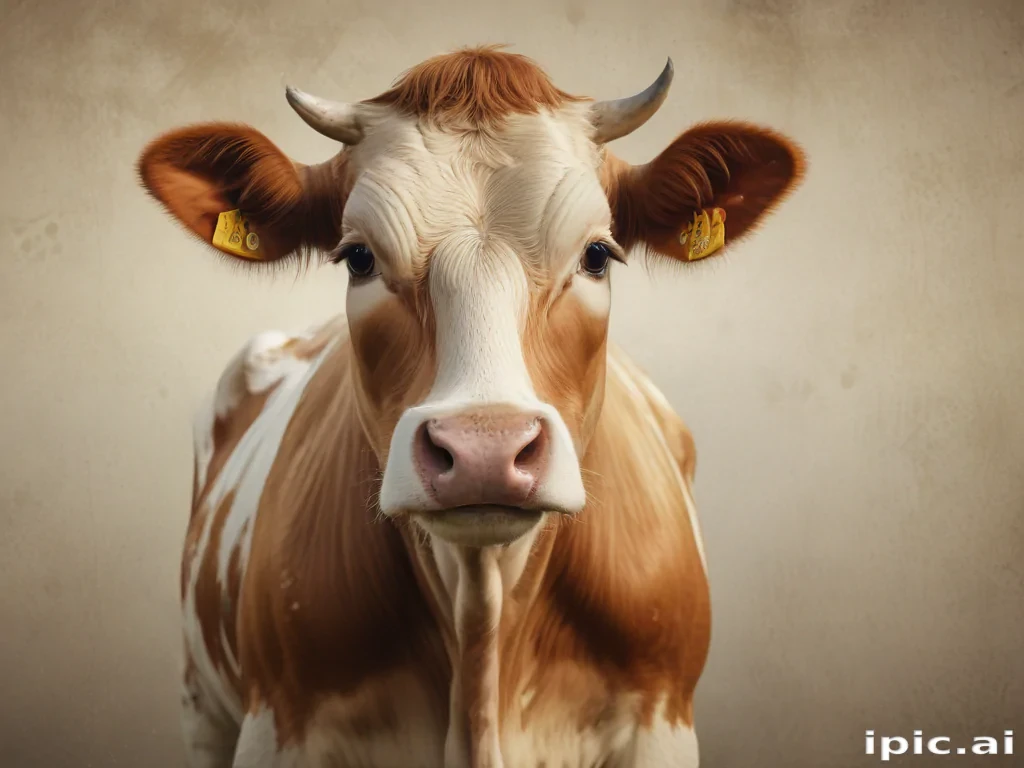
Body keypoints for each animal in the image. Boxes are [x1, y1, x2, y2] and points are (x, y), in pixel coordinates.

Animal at [137, 45, 805, 768]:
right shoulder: (275, 729)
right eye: (357, 258)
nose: (486, 448)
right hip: (202, 711)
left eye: (598, 255)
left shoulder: (660, 727)